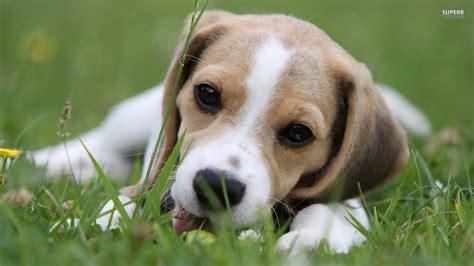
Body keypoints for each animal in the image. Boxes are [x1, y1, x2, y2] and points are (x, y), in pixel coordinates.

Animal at [33, 10, 432, 256]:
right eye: (207, 94)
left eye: (298, 133)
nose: (216, 185)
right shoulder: (150, 185)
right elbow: (122, 205)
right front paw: (100, 225)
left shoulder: (346, 199)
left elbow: (325, 210)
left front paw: (308, 241)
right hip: (130, 118)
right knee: (100, 141)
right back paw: (46, 163)